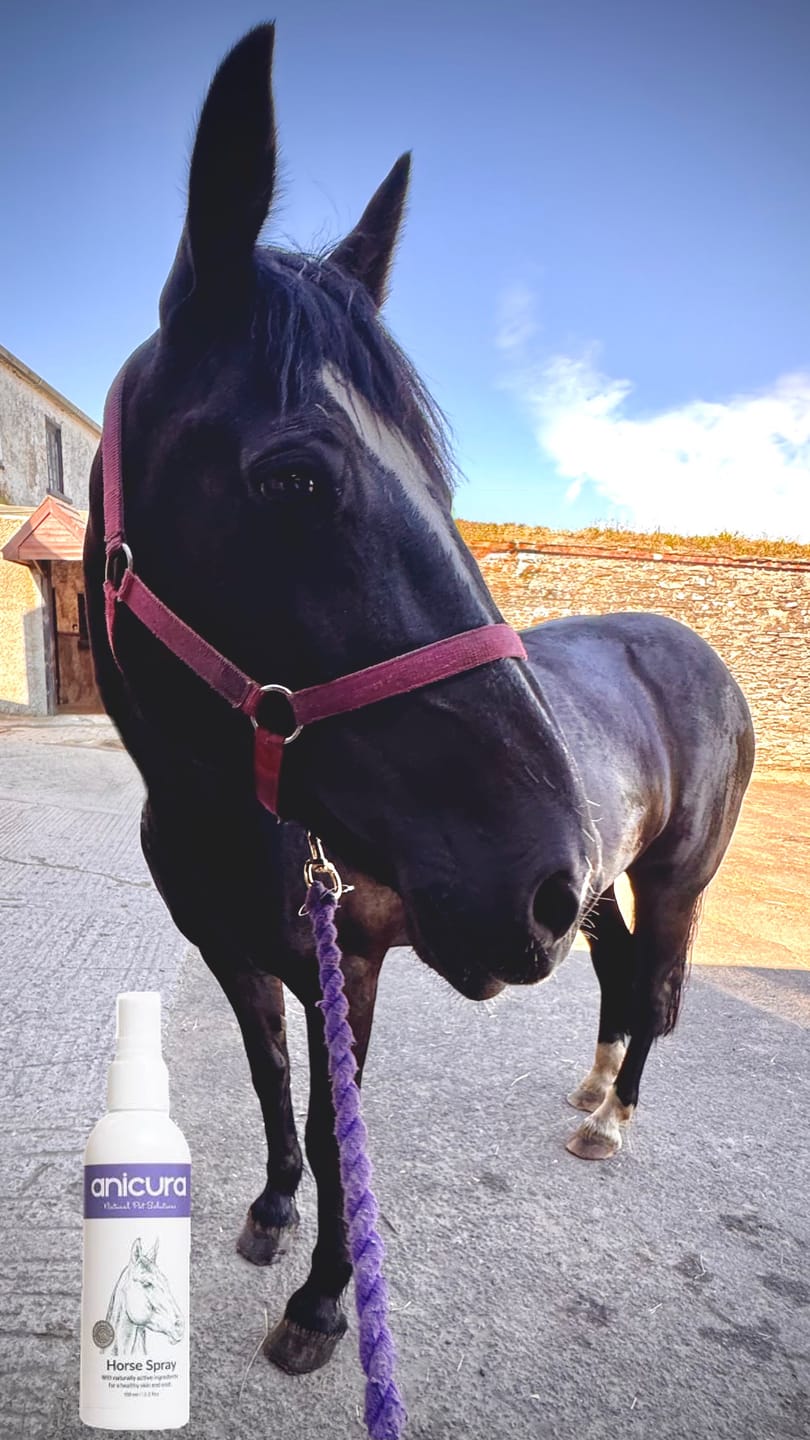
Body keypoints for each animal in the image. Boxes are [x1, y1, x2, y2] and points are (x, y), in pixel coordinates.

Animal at [84, 24, 755, 1377]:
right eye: (292, 476)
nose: (534, 873)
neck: (225, 808)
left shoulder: (350, 964)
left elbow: (338, 1131)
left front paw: (322, 1301)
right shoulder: (236, 959)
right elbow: (268, 1084)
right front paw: (271, 1210)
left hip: (663, 884)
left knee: (657, 987)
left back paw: (613, 1120)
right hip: (601, 891)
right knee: (618, 980)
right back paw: (591, 1089)